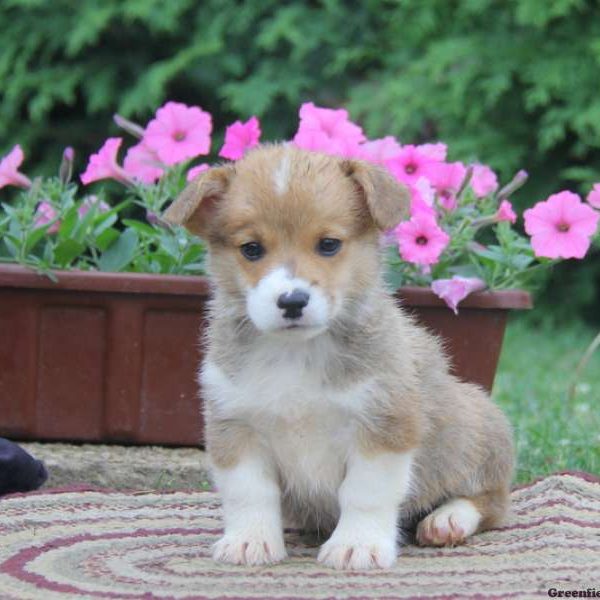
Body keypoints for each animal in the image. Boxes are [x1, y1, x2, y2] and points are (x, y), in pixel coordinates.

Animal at [164, 143, 516, 568]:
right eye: (251, 249)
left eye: (328, 244)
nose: (292, 301)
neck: (296, 353)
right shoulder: (235, 427)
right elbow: (249, 492)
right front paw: (250, 541)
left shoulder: (382, 426)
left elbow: (365, 493)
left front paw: (357, 545)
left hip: (477, 428)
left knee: (491, 501)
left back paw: (447, 520)